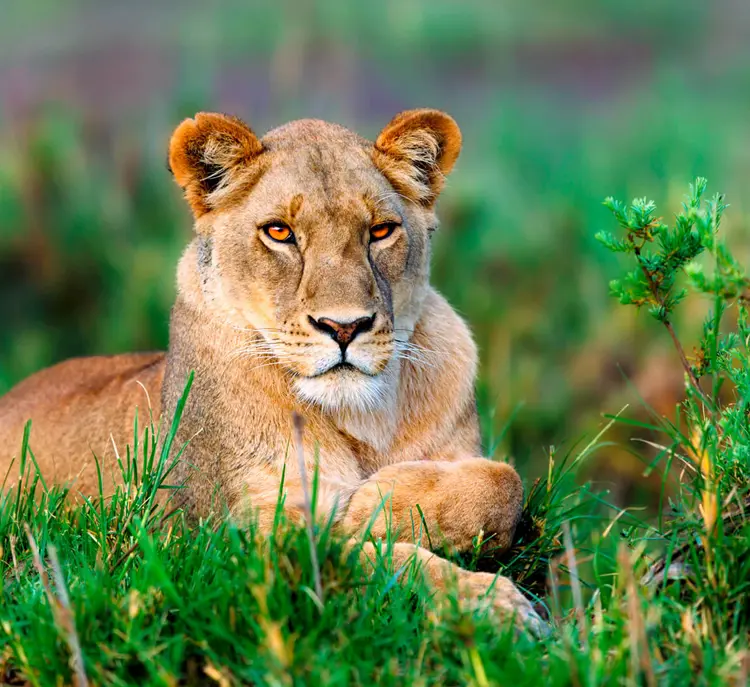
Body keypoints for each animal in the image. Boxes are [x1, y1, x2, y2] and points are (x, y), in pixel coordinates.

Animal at [0, 110, 544, 634]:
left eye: (380, 231)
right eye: (279, 232)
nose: (344, 327)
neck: (363, 417)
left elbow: (505, 485)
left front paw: (379, 503)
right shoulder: (237, 538)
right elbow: (366, 559)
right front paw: (491, 604)